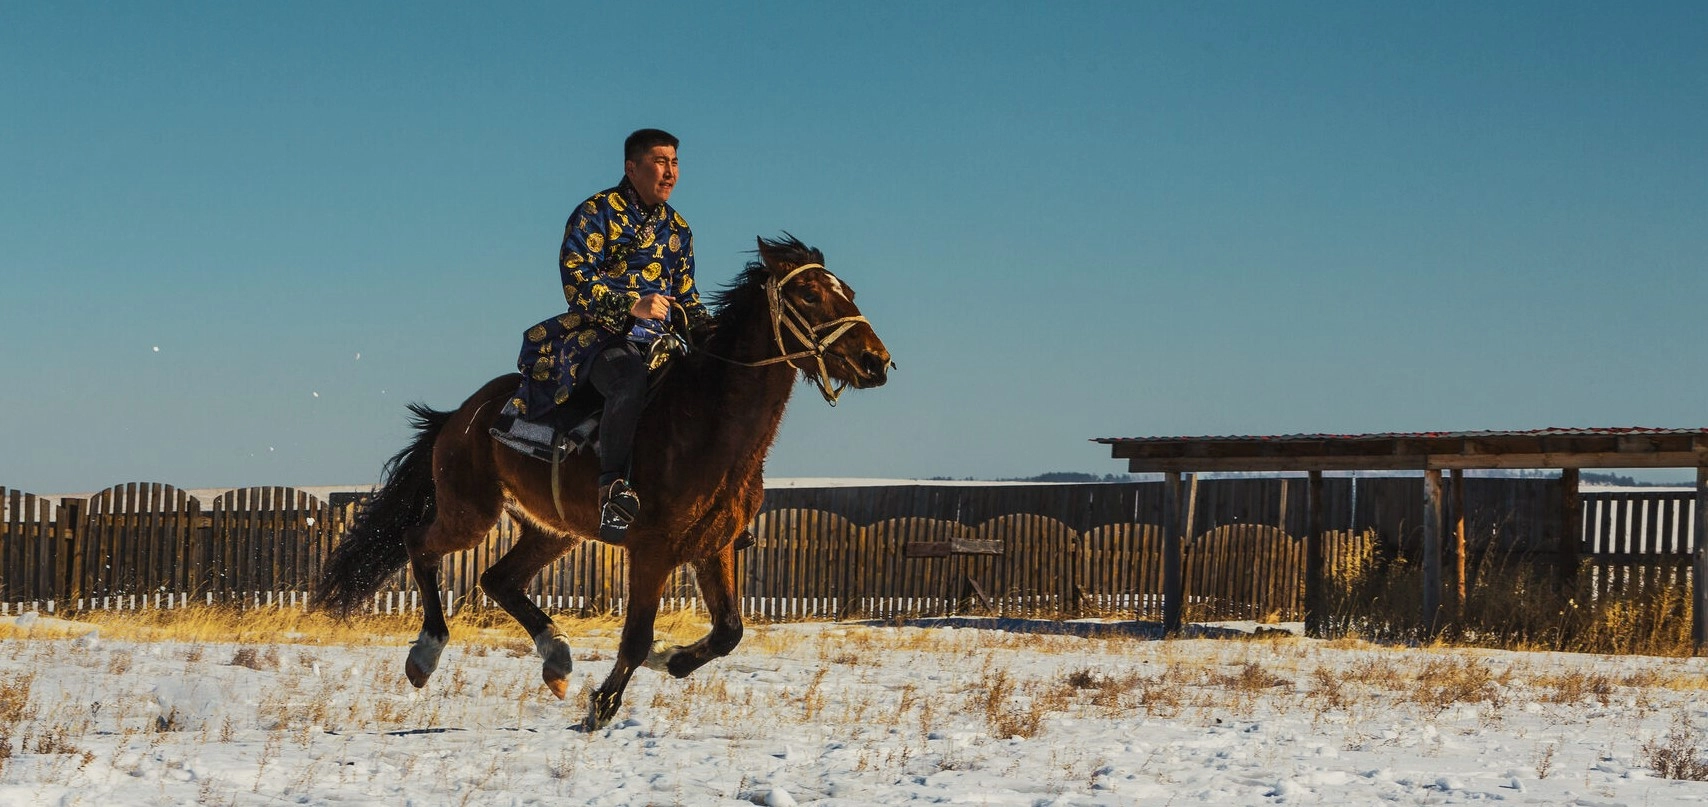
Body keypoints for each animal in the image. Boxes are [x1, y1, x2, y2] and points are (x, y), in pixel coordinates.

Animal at [315, 235, 894, 728]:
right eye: (811, 293)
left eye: (848, 291)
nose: (877, 362)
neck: (705, 423)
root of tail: (459, 417)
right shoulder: (653, 549)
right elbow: (636, 636)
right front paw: (603, 706)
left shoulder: (716, 546)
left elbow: (729, 631)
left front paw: (670, 660)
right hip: (470, 514)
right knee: (420, 544)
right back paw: (426, 654)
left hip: (554, 530)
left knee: (497, 578)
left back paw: (557, 661)